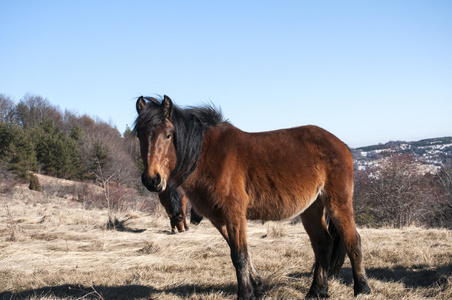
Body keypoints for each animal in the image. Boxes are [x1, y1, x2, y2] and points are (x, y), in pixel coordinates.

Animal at [132, 95, 370, 298]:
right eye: (139, 135)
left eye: (168, 134)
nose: (152, 180)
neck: (206, 155)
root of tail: (341, 144)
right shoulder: (219, 217)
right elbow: (241, 252)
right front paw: (258, 287)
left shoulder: (234, 213)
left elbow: (238, 255)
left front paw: (245, 293)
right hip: (312, 208)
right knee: (323, 244)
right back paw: (317, 291)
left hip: (337, 203)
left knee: (352, 240)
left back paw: (362, 288)